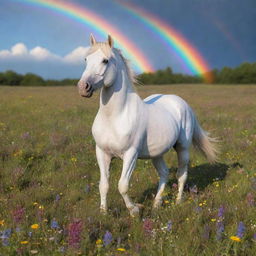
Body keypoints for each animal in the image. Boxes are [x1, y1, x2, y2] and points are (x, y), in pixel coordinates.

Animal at [78, 34, 218, 216]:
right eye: (86, 59)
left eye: (105, 60)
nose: (83, 87)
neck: (115, 117)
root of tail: (183, 104)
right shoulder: (102, 153)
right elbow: (104, 185)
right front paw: (104, 213)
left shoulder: (131, 154)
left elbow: (122, 186)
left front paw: (135, 210)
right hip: (157, 154)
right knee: (164, 173)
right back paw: (157, 204)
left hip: (182, 147)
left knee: (181, 175)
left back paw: (178, 202)